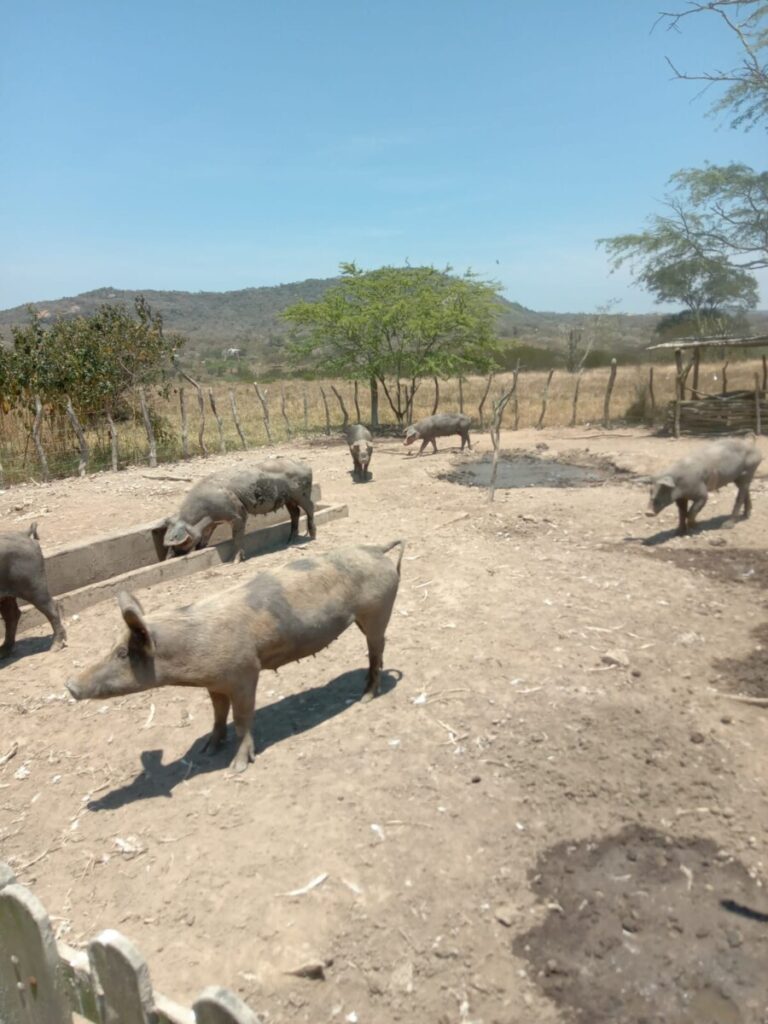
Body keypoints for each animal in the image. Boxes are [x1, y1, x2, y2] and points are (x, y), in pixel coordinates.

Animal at [0, 524, 67, 659]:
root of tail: (24, 534)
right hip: (7, 595)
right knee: (11, 615)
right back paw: (3, 651)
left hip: (34, 585)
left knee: (51, 606)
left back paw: (55, 648)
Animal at [64, 544, 409, 770]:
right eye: (111, 646)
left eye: (122, 653)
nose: (69, 684)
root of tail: (380, 552)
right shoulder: (215, 682)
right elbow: (218, 714)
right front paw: (207, 750)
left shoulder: (245, 672)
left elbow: (242, 719)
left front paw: (237, 767)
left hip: (378, 611)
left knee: (376, 652)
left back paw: (365, 698)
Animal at [163, 460, 317, 565]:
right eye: (166, 540)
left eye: (182, 541)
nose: (168, 557)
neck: (206, 512)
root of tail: (306, 466)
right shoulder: (212, 523)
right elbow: (204, 540)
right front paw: (199, 550)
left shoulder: (238, 514)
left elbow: (236, 537)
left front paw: (234, 561)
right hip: (289, 499)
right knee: (295, 512)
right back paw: (290, 540)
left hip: (301, 494)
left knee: (310, 507)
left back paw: (312, 536)